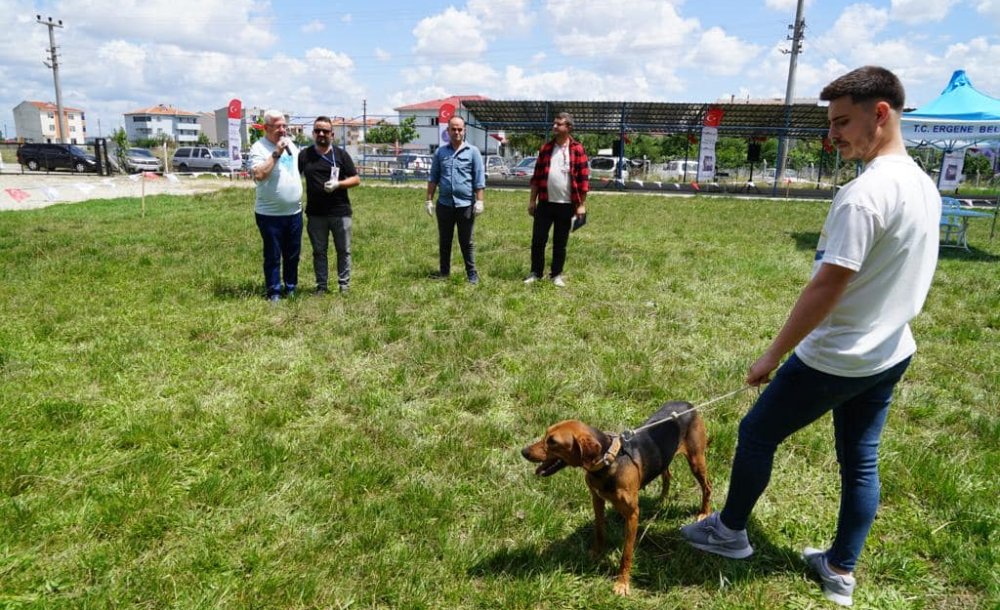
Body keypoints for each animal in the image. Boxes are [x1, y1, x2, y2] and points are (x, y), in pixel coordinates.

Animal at [524, 400, 712, 592]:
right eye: (546, 435)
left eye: (553, 442)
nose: (524, 451)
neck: (608, 462)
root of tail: (687, 403)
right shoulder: (597, 499)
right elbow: (599, 531)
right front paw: (596, 554)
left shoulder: (632, 515)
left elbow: (626, 553)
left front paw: (622, 583)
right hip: (665, 458)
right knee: (667, 473)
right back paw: (661, 500)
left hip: (696, 460)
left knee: (707, 486)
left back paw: (704, 512)